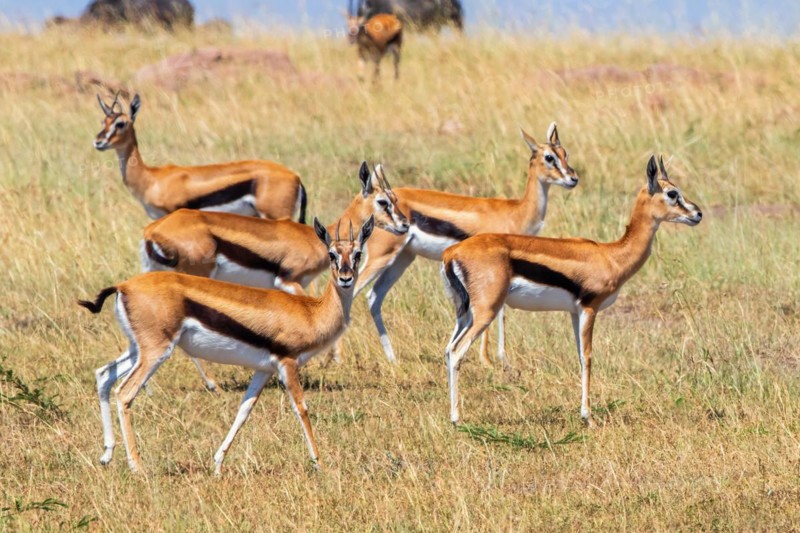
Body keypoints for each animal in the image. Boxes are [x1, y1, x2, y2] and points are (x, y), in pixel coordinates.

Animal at [78, 216, 376, 475]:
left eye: (358, 253)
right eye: (332, 255)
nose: (346, 278)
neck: (310, 312)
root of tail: (123, 286)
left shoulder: (264, 370)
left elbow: (243, 410)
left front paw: (218, 463)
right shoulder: (288, 364)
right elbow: (301, 408)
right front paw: (320, 464)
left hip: (138, 349)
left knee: (104, 375)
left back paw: (106, 454)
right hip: (156, 352)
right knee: (124, 393)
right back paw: (137, 466)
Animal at [142, 162, 409, 389]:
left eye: (396, 199)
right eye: (383, 202)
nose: (405, 225)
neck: (312, 239)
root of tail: (152, 230)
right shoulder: (290, 280)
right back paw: (210, 383)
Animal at [354, 122, 579, 364]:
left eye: (565, 153)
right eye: (549, 157)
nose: (573, 178)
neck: (516, 212)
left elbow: (501, 312)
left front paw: (500, 358)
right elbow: (496, 312)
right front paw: (487, 359)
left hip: (402, 259)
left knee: (373, 297)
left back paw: (392, 358)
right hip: (381, 257)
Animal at [441, 155, 703, 426]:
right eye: (672, 193)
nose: (698, 214)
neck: (611, 255)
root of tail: (452, 253)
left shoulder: (574, 312)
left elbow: (578, 355)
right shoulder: (590, 308)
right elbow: (587, 357)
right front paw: (589, 418)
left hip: (465, 314)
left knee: (448, 350)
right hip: (486, 311)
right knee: (458, 352)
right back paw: (457, 419)